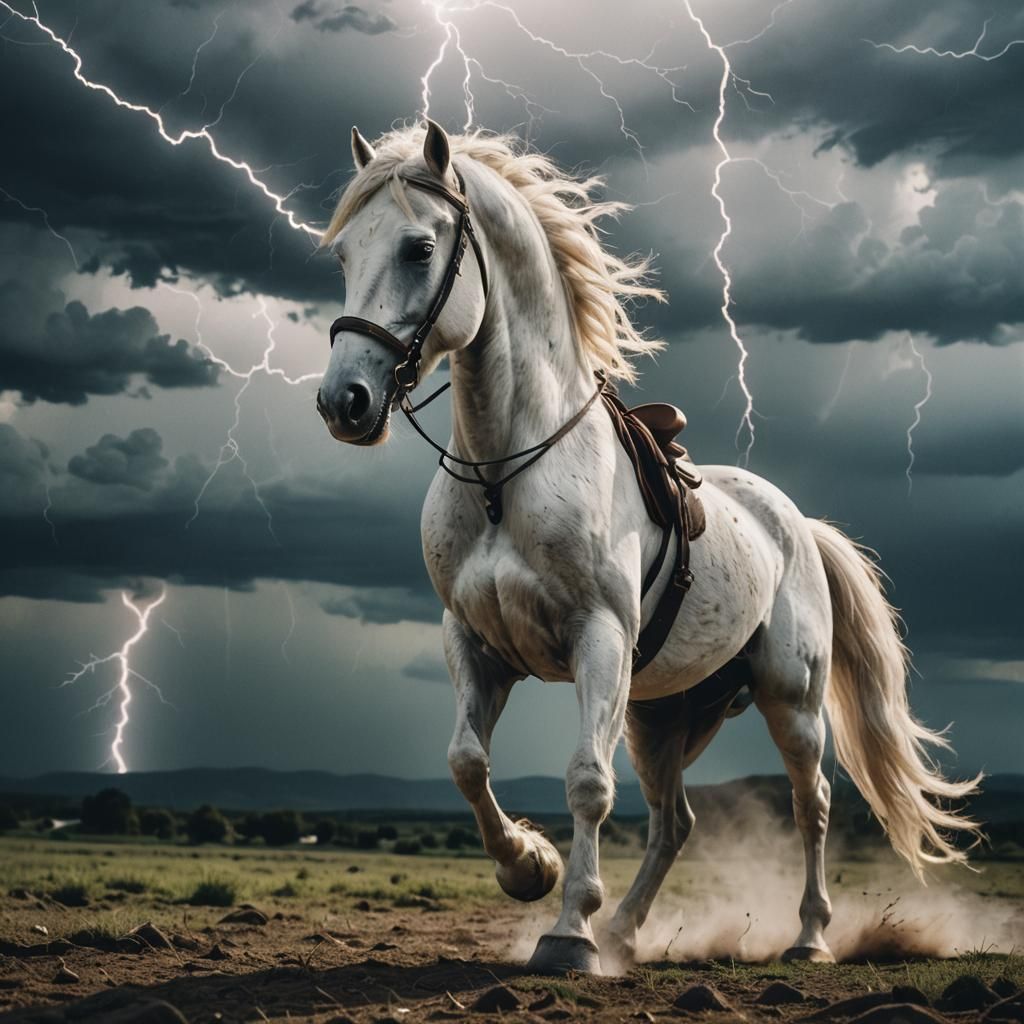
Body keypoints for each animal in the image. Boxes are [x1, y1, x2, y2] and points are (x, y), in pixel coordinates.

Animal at [315, 119, 981, 975]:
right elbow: (467, 762)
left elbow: (586, 784)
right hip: (661, 717)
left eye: (419, 248)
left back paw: (806, 937)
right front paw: (531, 868)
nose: (344, 402)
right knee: (676, 822)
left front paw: (567, 933)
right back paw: (625, 931)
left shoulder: (598, 640)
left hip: (789, 700)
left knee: (813, 805)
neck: (505, 473)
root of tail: (798, 523)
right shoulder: (474, 642)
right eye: (343, 255)